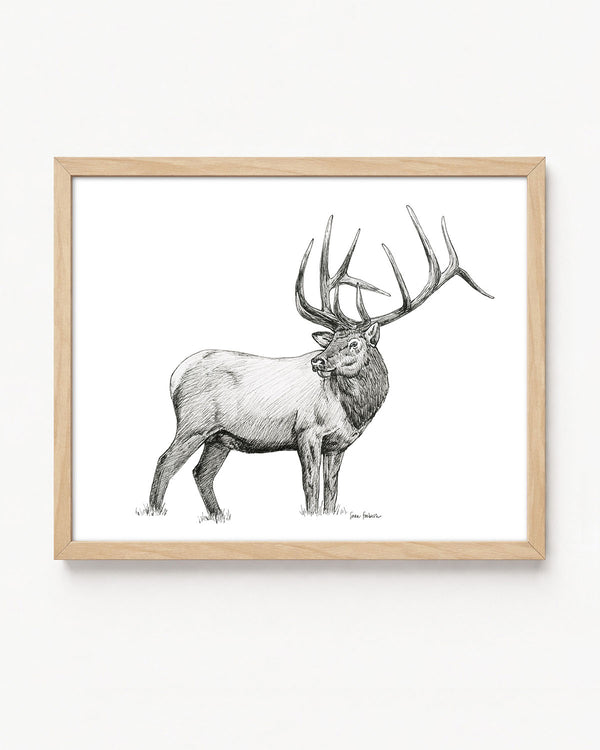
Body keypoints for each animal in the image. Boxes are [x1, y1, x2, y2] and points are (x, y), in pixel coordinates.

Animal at [148, 206, 492, 518]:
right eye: (331, 340)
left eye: (353, 343)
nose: (318, 361)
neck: (354, 413)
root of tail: (175, 375)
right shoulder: (307, 431)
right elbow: (311, 485)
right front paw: (312, 515)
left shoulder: (338, 444)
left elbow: (332, 488)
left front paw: (328, 514)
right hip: (194, 423)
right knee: (165, 461)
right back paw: (156, 511)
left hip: (220, 437)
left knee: (201, 473)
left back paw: (219, 516)